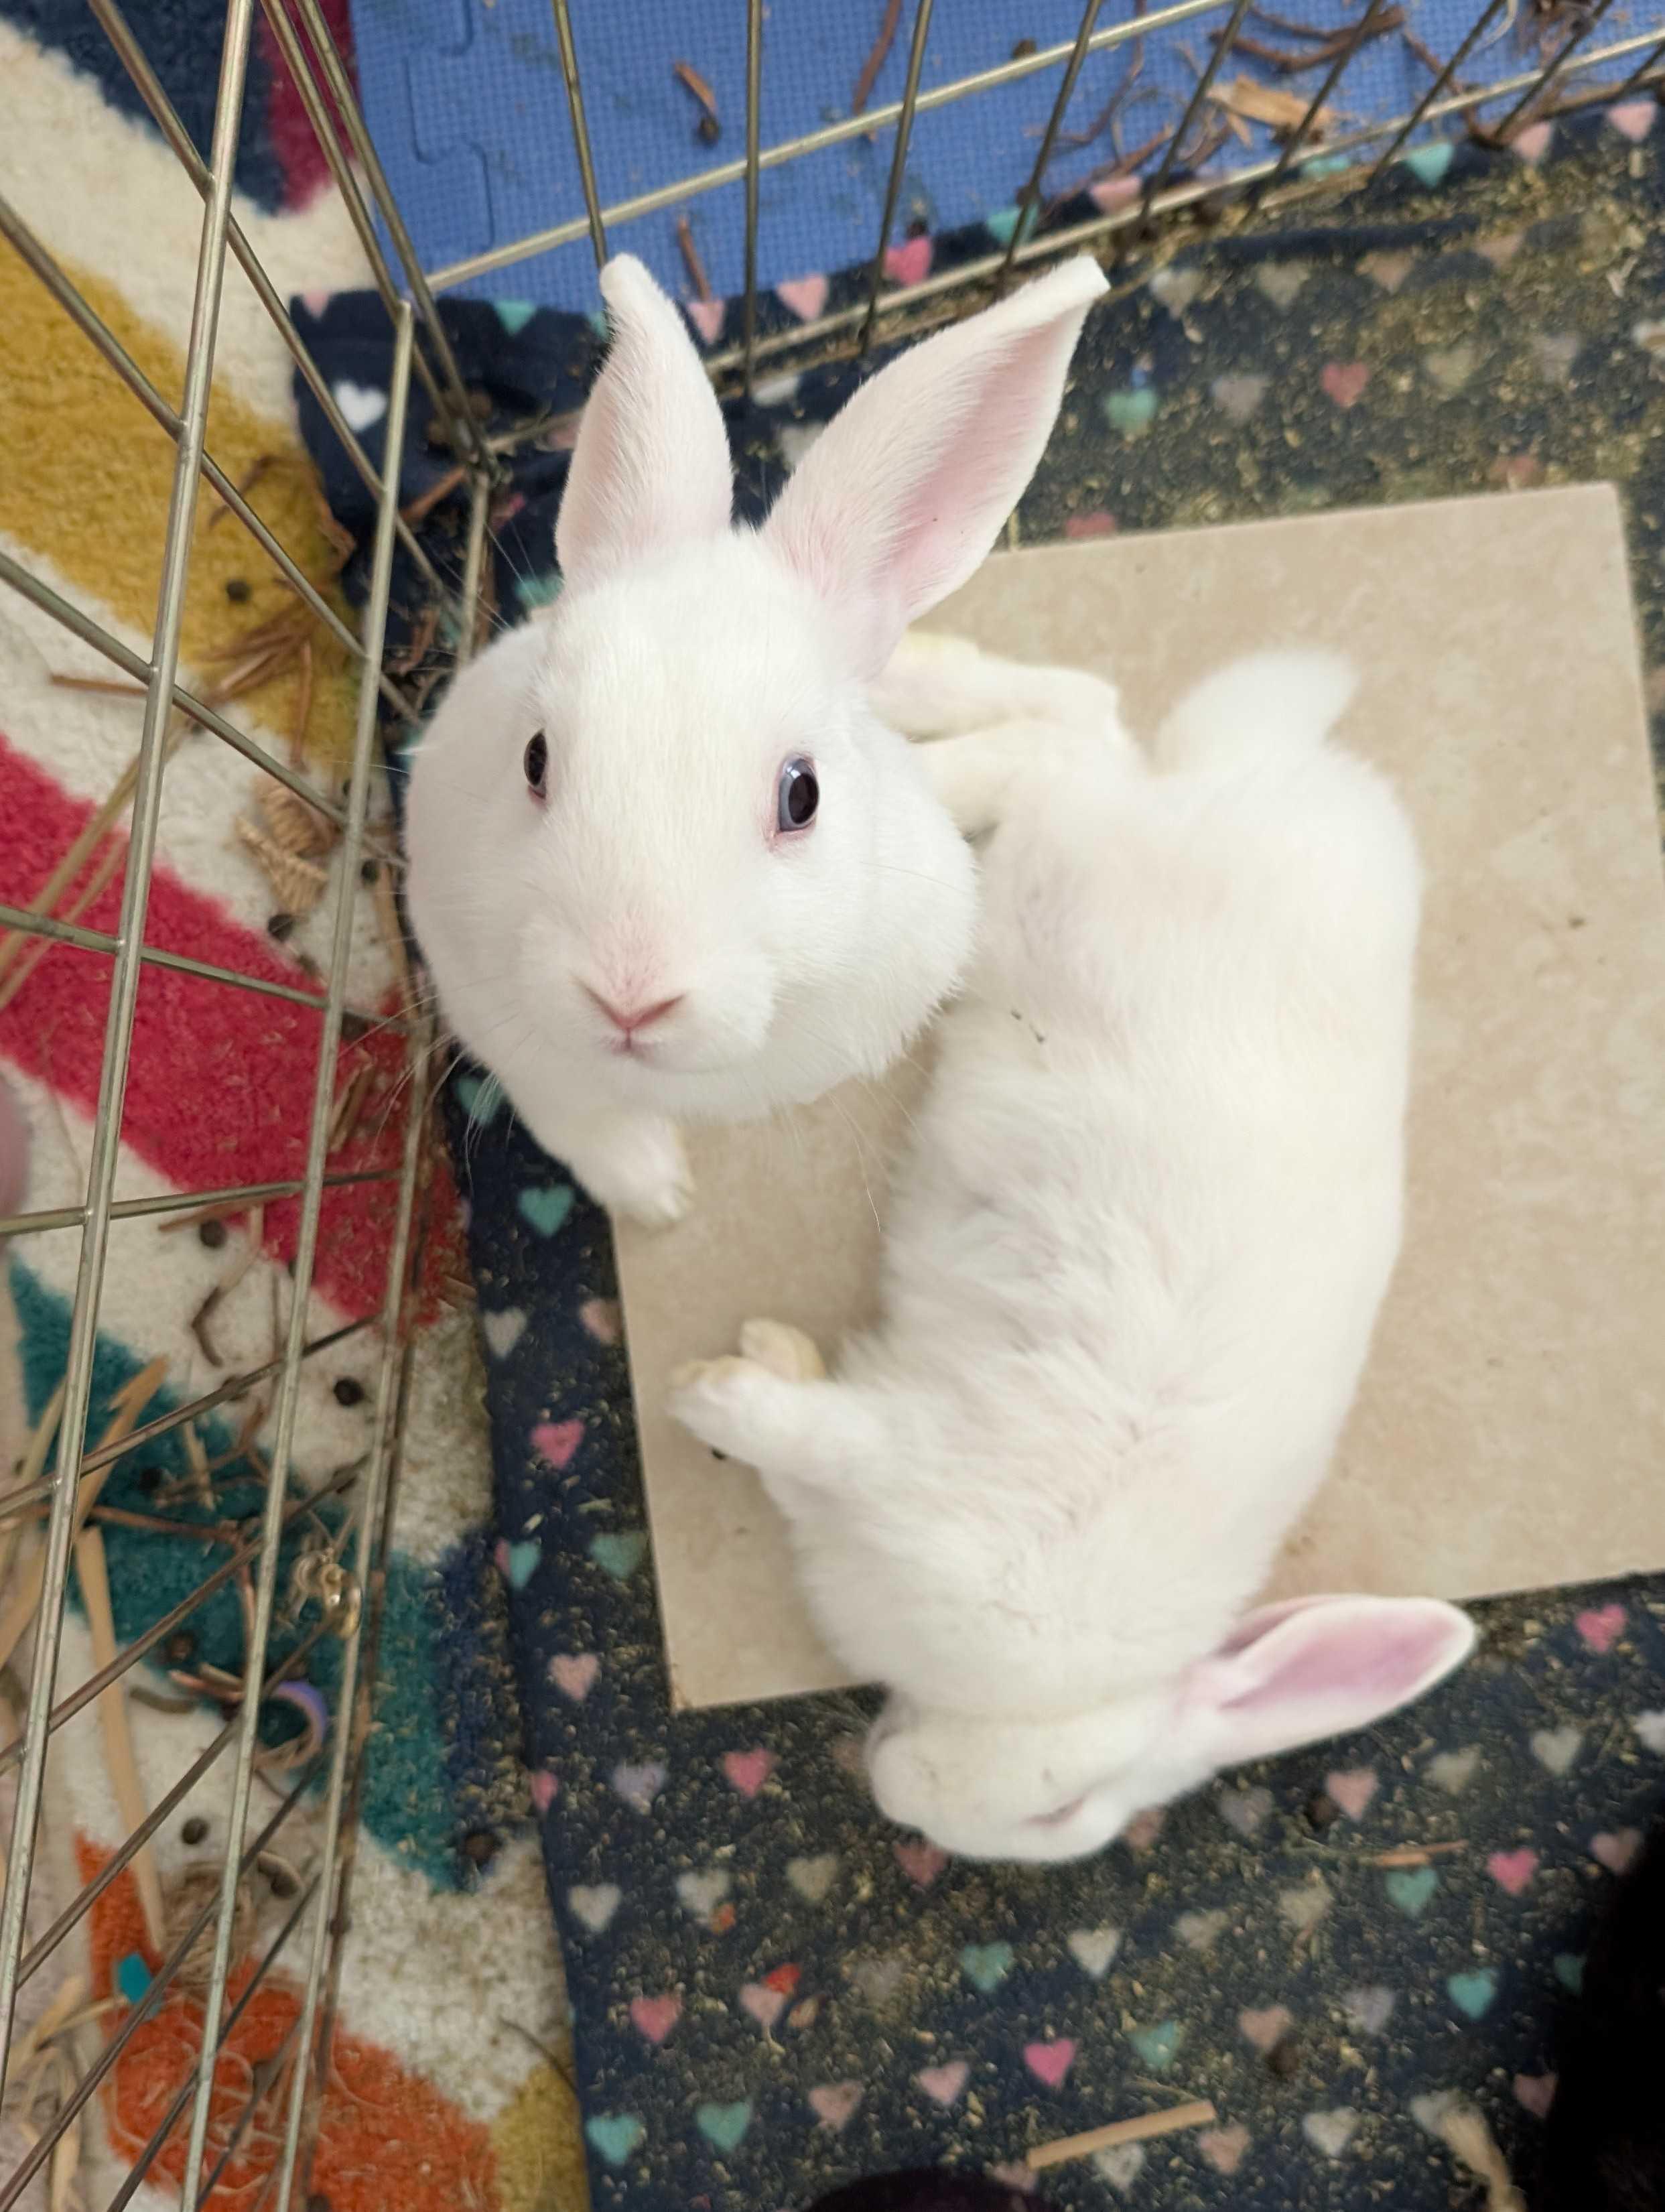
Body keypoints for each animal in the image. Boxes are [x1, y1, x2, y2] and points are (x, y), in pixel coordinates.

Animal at [403, 251, 1107, 1226]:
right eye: (535, 760)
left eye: (801, 794)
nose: (628, 997)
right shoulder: (503, 1024)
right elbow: (578, 1120)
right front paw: (657, 1195)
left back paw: (1089, 712)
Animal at [669, 647, 1475, 1862]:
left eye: (1059, 1817)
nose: (898, 1797)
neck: (1045, 1690)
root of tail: (1271, 765)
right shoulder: (902, 1462)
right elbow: (797, 1430)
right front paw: (698, 1392)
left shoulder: (863, 1468)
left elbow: (794, 1427)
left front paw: (756, 1355)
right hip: (1068, 872)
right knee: (1070, 744)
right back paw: (918, 728)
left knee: (1085, 724)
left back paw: (914, 697)